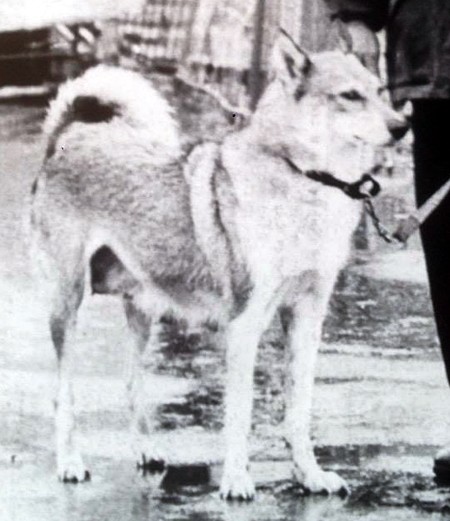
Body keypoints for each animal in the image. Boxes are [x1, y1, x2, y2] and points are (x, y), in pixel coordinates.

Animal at [30, 31, 407, 499]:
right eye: (350, 96)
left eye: (380, 91)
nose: (402, 126)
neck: (302, 179)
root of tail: (65, 139)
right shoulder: (245, 326)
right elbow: (240, 413)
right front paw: (236, 480)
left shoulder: (306, 319)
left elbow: (298, 411)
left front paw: (309, 475)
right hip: (67, 304)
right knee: (63, 395)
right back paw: (70, 463)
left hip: (142, 310)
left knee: (132, 383)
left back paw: (146, 451)